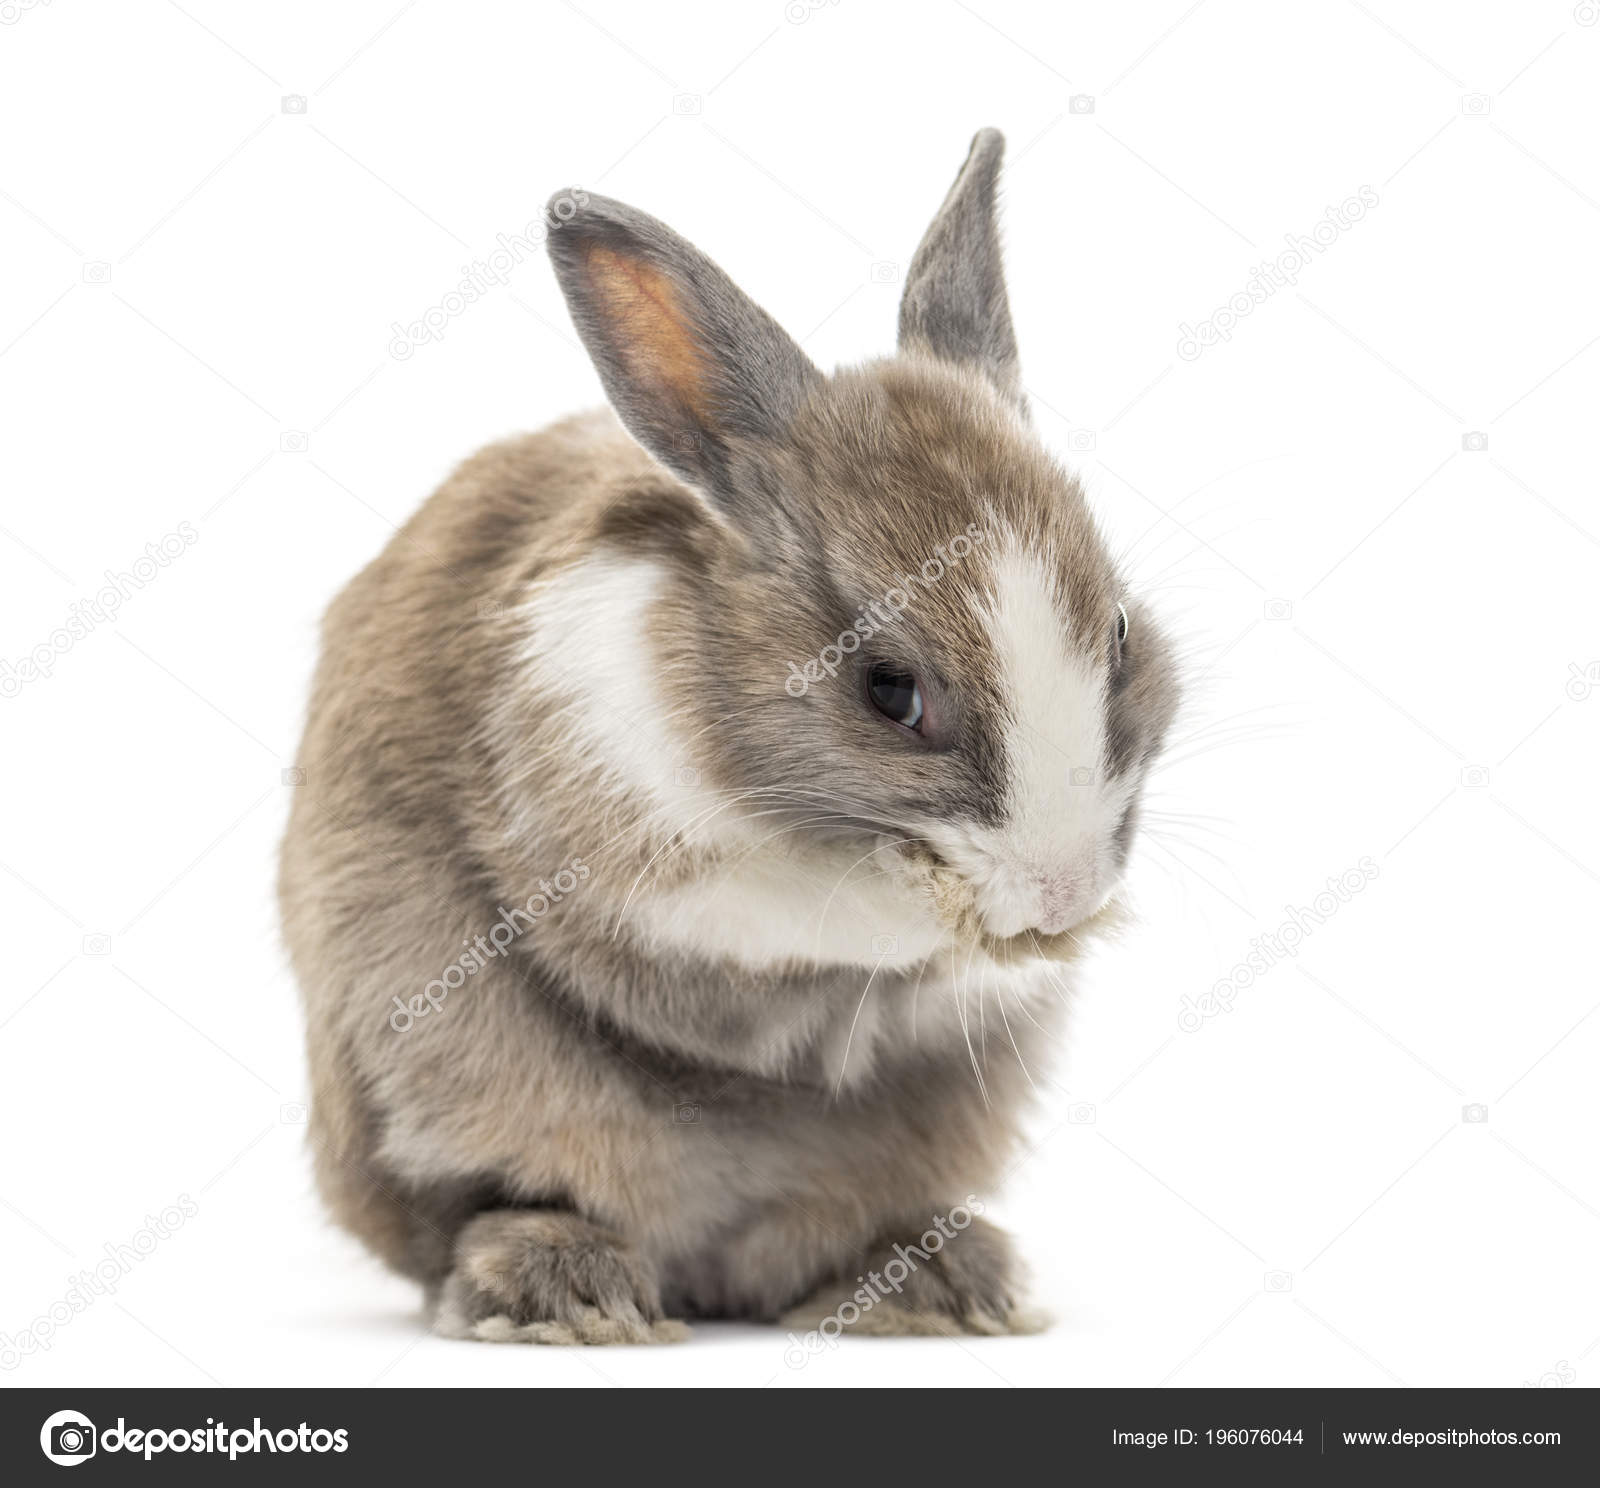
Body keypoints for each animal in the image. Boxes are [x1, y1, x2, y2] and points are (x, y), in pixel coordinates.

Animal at [278, 127, 1180, 1346]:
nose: (1063, 895)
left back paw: (939, 1284)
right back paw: (564, 1289)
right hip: (436, 1079)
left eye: (1122, 633)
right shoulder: (636, 859)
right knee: (472, 1219)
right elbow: (816, 908)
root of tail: (706, 1275)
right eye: (888, 690)